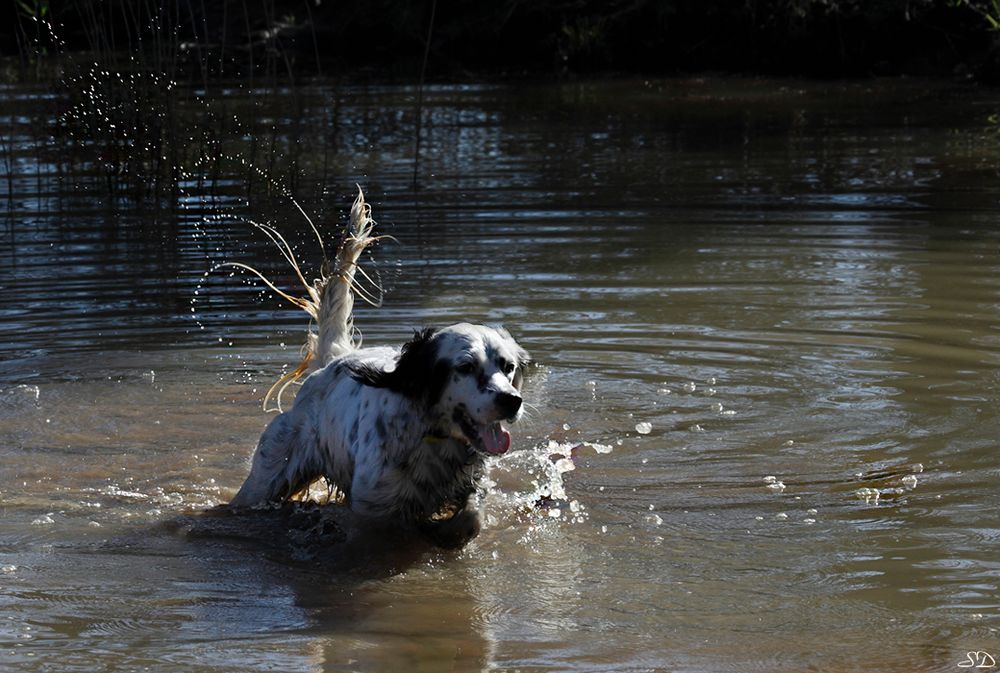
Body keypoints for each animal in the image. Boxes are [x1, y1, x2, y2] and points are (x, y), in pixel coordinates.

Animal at [230, 188, 532, 544]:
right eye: (466, 366)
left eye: (508, 366)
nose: (512, 400)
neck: (433, 439)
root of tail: (334, 359)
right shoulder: (372, 510)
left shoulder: (472, 484)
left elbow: (472, 517)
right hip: (266, 475)